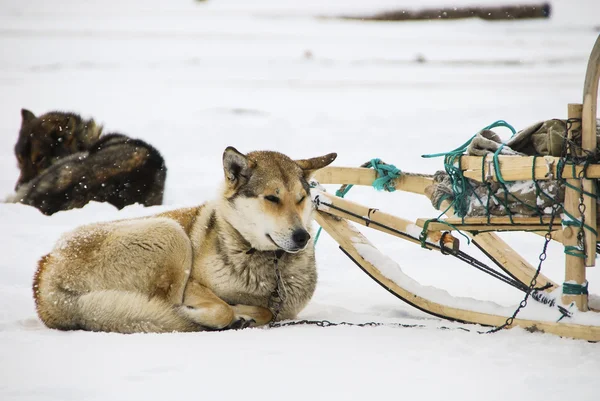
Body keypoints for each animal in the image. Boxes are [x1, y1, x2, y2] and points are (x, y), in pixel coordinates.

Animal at [32, 146, 336, 332]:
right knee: (167, 306)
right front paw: (231, 313)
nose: (302, 236)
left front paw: (247, 313)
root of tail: (44, 276)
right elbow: (222, 308)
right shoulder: (193, 285)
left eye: (301, 198)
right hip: (170, 234)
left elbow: (267, 312)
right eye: (272, 198)